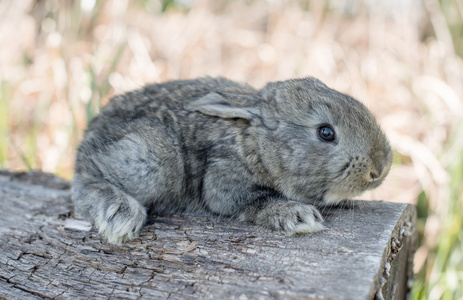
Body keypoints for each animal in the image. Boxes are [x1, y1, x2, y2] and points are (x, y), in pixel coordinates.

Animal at [71, 76, 392, 243]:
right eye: (326, 132)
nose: (380, 170)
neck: (258, 143)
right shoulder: (223, 180)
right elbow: (253, 201)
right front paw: (300, 217)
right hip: (152, 159)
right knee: (87, 181)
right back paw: (121, 214)